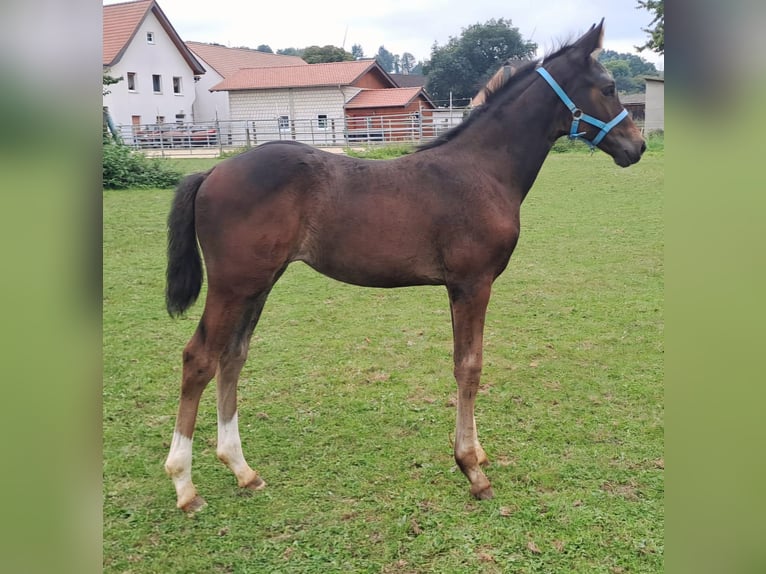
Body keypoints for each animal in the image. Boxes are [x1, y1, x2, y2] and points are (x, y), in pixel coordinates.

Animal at [165, 21, 644, 512]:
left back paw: (243, 470)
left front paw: (476, 454)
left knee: (232, 356)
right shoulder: (473, 283)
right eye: (609, 88)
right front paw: (472, 470)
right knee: (198, 358)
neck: (483, 170)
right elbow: (469, 366)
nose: (638, 146)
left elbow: (462, 361)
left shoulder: (457, 287)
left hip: (259, 283)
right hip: (234, 284)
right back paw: (184, 485)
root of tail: (211, 173)